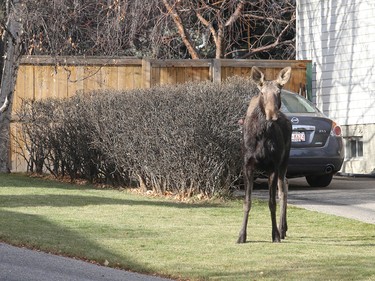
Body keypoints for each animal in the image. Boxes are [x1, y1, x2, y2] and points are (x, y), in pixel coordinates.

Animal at [238, 66, 294, 243]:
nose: (272, 115)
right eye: (262, 92)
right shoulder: (247, 165)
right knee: (285, 184)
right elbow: (247, 202)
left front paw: (274, 234)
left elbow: (272, 202)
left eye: (279, 91)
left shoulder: (273, 166)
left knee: (283, 189)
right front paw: (241, 235)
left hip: (285, 161)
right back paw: (284, 228)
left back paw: (282, 229)